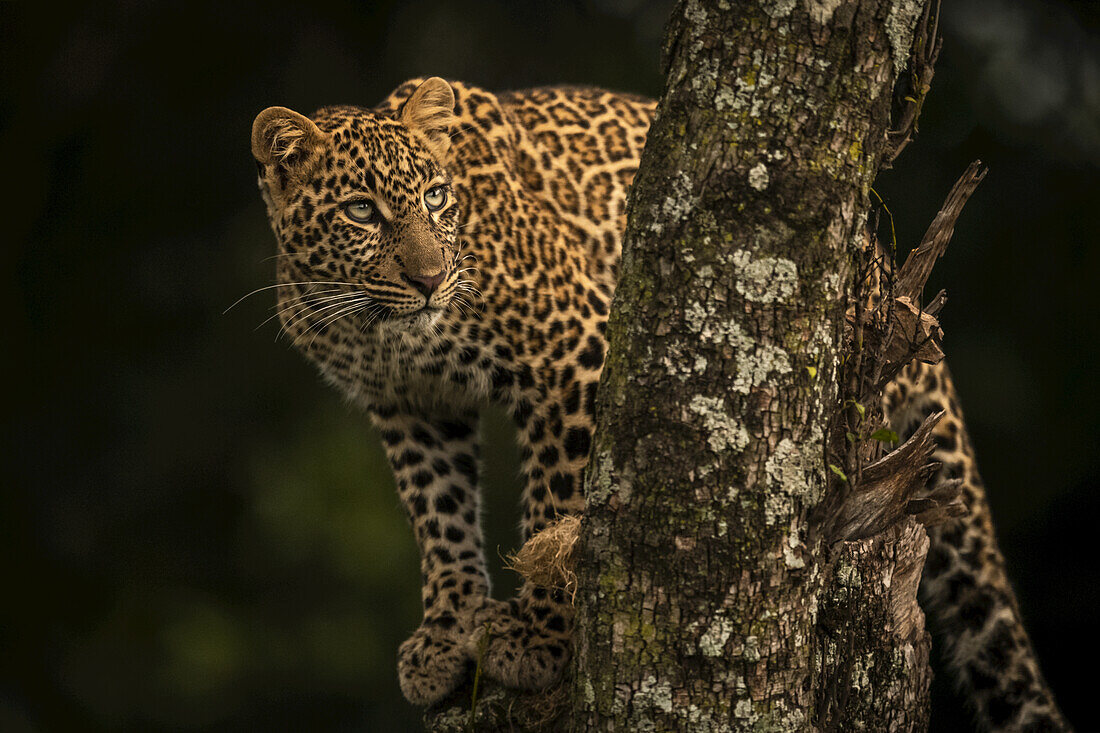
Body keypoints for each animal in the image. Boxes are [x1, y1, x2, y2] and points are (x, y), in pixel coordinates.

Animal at [249, 77, 1064, 726]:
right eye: (361, 211)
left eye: (434, 197)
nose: (429, 279)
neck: (378, 331)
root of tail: (886, 264)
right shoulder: (410, 408)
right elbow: (438, 519)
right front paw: (447, 634)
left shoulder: (571, 353)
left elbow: (559, 504)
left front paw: (538, 637)